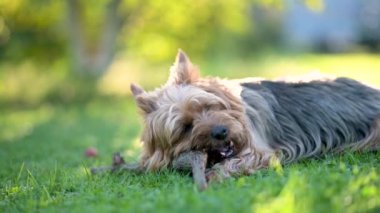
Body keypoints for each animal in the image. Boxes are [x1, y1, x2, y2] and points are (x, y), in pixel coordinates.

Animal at [130, 50, 380, 181]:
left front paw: (214, 175)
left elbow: (237, 162)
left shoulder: (259, 152)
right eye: (185, 126)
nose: (221, 132)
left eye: (209, 107)